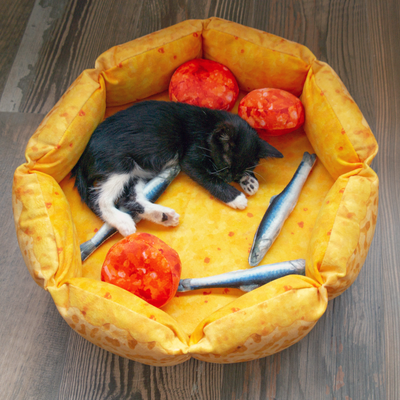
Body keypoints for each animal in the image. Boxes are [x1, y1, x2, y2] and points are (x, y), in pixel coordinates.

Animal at [72, 101, 284, 238]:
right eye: (225, 164)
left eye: (237, 171)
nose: (228, 177)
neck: (208, 125)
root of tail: (83, 155)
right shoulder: (190, 156)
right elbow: (206, 176)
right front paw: (236, 197)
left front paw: (249, 180)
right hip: (119, 163)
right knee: (100, 199)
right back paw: (123, 222)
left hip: (138, 171)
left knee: (130, 197)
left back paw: (163, 216)